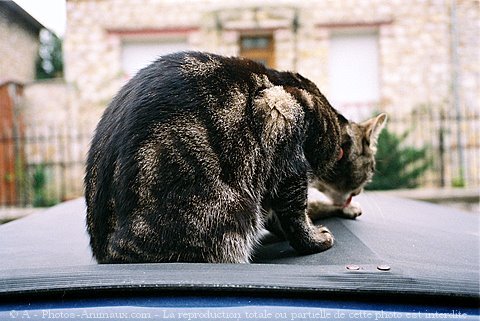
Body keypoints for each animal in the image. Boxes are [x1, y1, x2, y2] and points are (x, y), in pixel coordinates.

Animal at [85, 50, 386, 262]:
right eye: (370, 172)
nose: (358, 192)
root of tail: (108, 251)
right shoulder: (283, 125)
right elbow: (296, 214)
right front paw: (314, 239)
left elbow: (298, 212)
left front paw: (341, 210)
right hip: (228, 213)